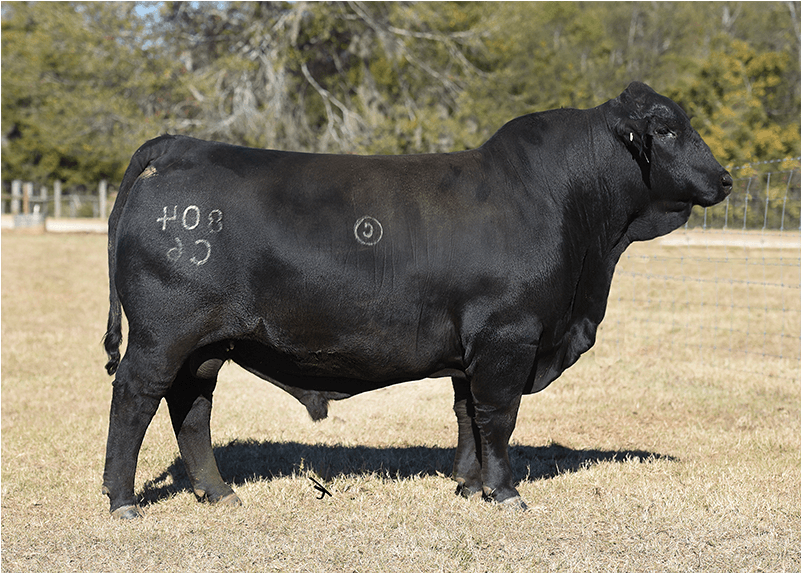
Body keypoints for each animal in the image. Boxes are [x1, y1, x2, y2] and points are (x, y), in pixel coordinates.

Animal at [101, 82, 732, 519]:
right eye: (667, 129)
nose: (724, 178)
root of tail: (181, 146)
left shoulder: (473, 350)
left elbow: (468, 415)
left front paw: (469, 485)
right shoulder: (509, 336)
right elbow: (499, 414)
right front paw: (505, 493)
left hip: (206, 343)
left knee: (191, 405)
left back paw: (219, 493)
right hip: (162, 335)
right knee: (135, 398)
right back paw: (122, 500)